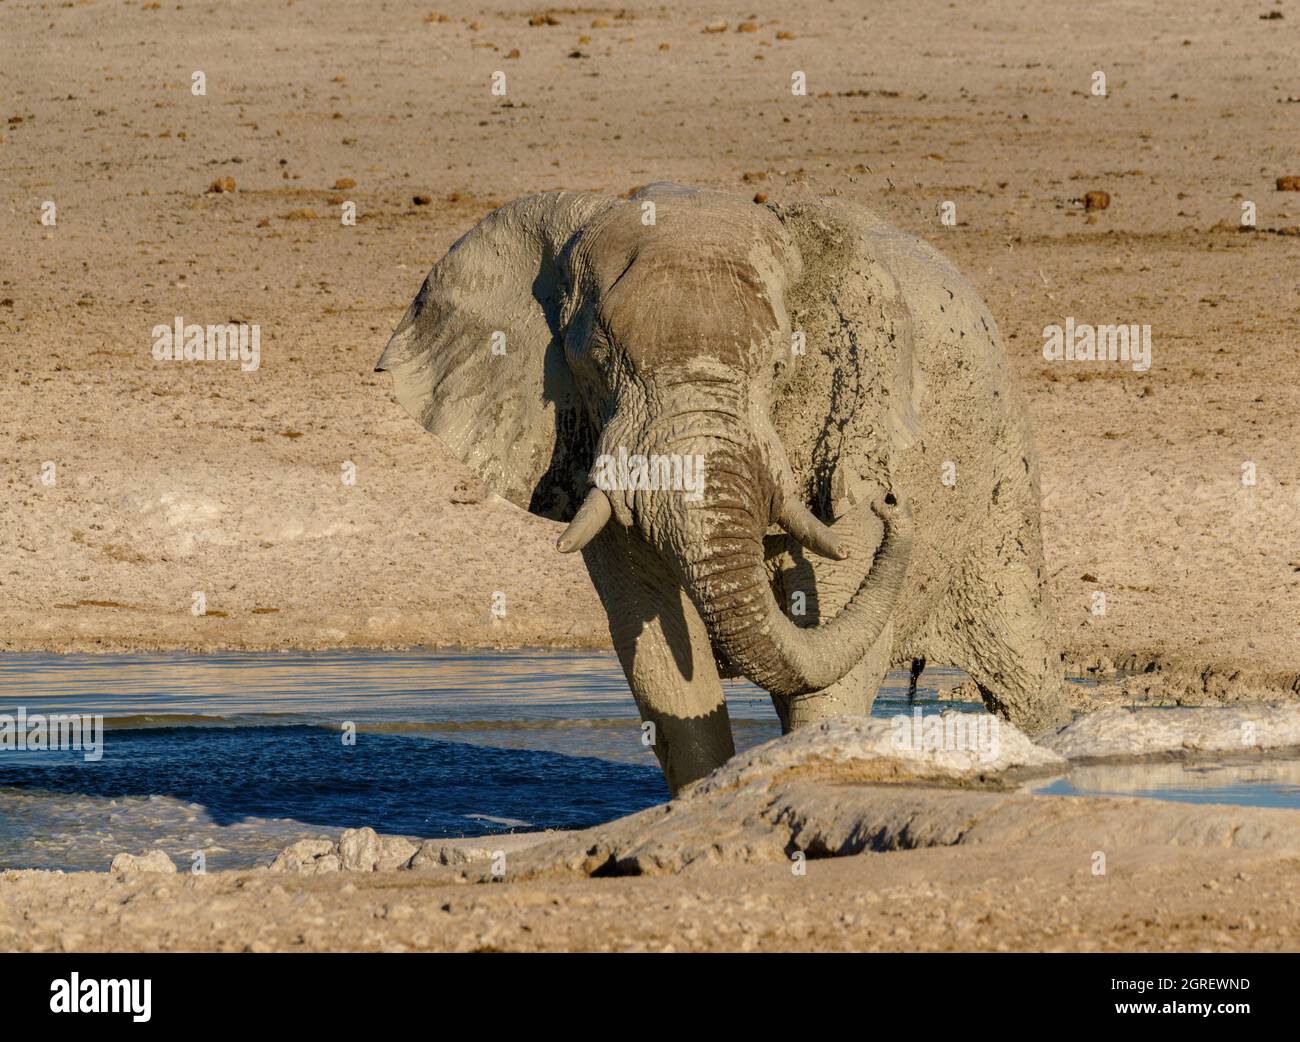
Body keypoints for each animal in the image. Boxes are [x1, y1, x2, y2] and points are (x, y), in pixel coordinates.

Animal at [377, 183, 1066, 789]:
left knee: (1022, 667)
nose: (892, 501)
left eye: (783, 367)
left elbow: (833, 654)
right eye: (594, 364)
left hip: (1004, 478)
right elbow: (657, 652)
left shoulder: (850, 437)